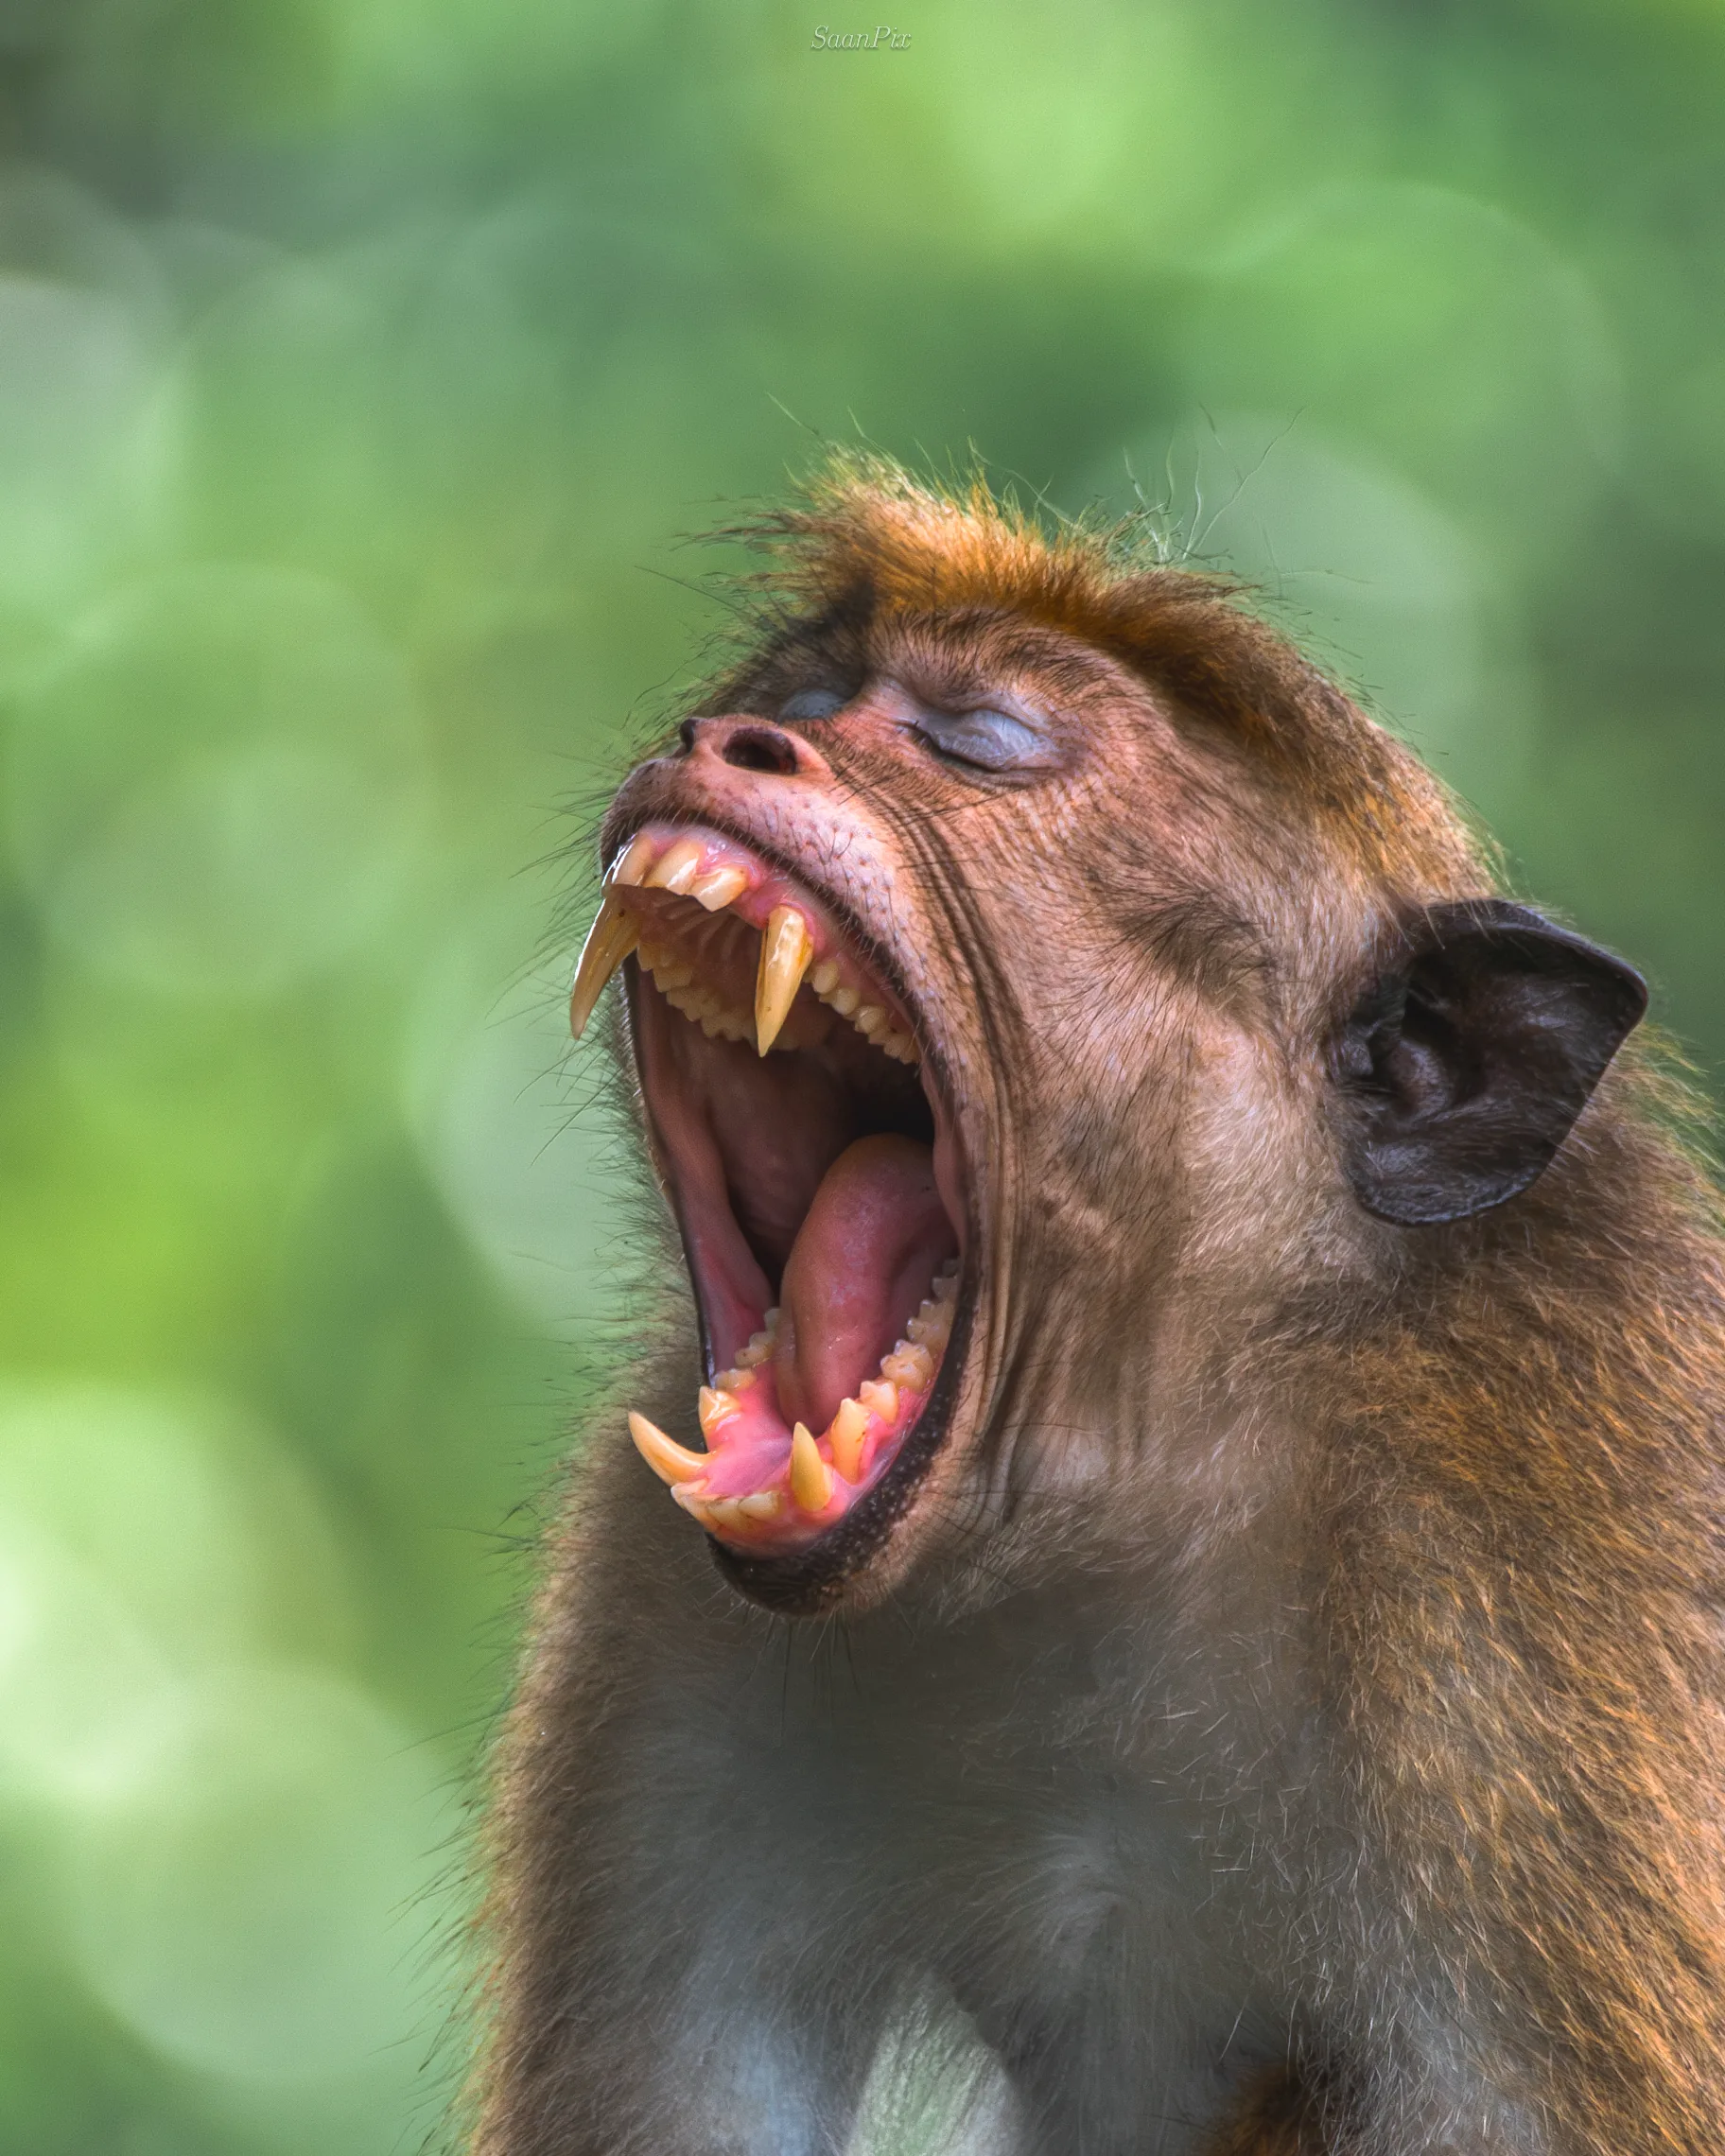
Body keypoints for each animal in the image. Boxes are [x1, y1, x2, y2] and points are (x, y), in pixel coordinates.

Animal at [473, 459, 1725, 2156]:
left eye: (979, 740)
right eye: (803, 700)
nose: (725, 742)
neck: (1148, 1484)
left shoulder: (1531, 1610)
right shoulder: (661, 1596)